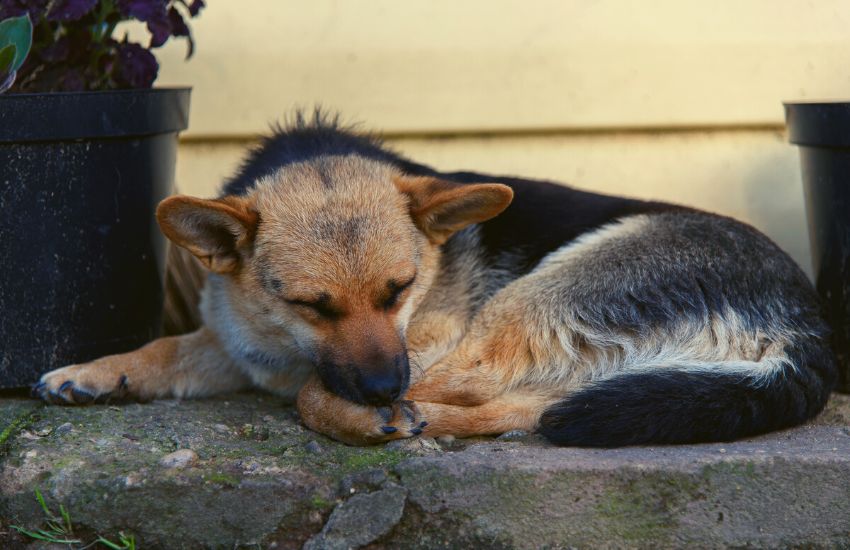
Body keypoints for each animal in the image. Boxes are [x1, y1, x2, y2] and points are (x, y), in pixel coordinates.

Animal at [31, 112, 836, 448]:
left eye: (401, 290)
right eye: (310, 305)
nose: (385, 387)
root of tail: (806, 328)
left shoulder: (418, 341)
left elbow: (314, 389)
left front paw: (363, 411)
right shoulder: (240, 341)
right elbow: (169, 349)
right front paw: (96, 371)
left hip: (533, 297)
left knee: (476, 385)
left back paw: (388, 417)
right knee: (534, 409)